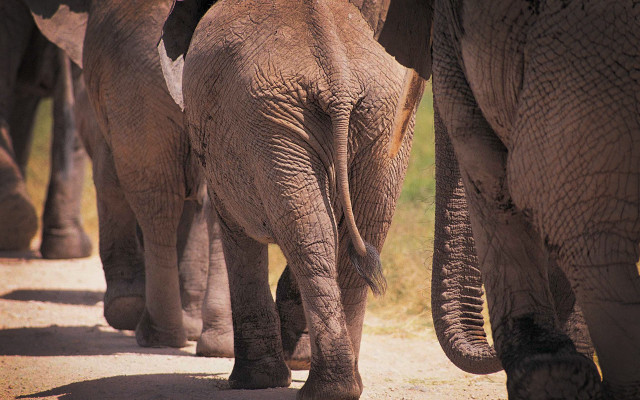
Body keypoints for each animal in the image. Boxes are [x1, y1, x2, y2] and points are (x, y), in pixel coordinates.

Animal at [159, 0, 424, 398]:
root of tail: (339, 79)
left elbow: (235, 231)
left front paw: (253, 383)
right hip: (377, 120)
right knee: (351, 233)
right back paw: (342, 387)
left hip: (269, 122)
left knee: (309, 237)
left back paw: (321, 388)